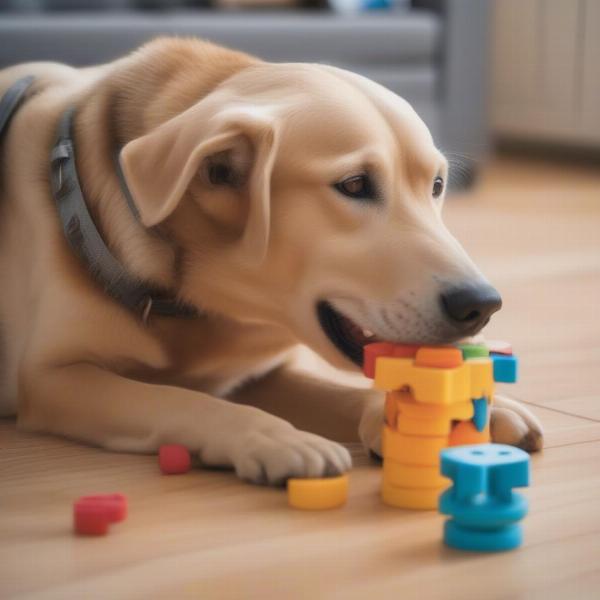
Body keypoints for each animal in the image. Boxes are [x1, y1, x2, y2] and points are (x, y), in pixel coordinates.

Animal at [0, 37, 544, 486]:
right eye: (354, 185)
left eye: (436, 185)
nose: (482, 305)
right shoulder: (52, 379)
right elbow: (176, 397)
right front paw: (272, 436)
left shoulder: (261, 374)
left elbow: (343, 392)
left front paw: (471, 409)